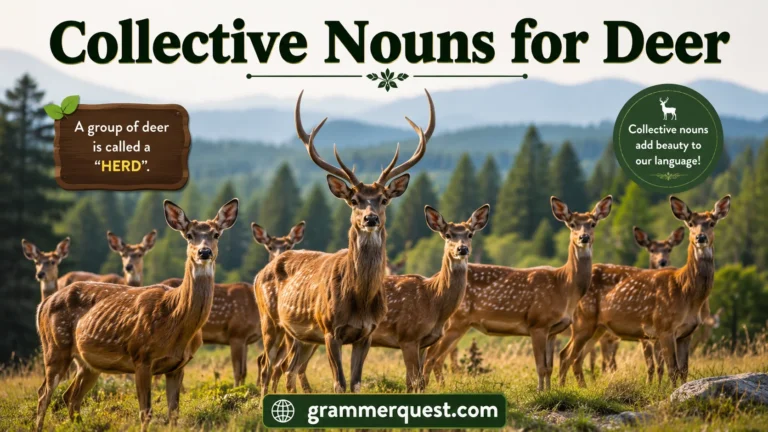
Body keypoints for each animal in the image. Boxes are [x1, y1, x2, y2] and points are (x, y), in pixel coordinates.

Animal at [34, 198, 238, 432]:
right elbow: (146, 412)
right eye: (189, 235)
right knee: (43, 394)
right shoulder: (141, 356)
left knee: (71, 397)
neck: (176, 320)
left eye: (216, 234)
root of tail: (43, 304)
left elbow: (174, 413)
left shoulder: (178, 366)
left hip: (87, 363)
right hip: (55, 347)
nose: (204, 252)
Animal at [159, 221, 306, 387]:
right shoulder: (236, 334)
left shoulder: (246, 339)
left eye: (289, 245)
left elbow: (245, 371)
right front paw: (237, 390)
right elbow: (238, 371)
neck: (254, 306)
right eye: (270, 246)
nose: (280, 257)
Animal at [254, 89, 434, 395]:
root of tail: (258, 275)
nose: (370, 218)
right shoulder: (329, 330)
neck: (360, 298)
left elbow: (355, 383)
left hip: (298, 335)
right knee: (267, 366)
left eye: (383, 199)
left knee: (284, 369)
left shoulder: (367, 333)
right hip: (270, 320)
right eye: (354, 200)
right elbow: (339, 384)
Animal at [422, 196, 613, 391]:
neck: (564, 286)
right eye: (572, 224)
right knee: (431, 356)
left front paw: (550, 391)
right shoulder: (538, 322)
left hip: (460, 324)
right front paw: (540, 392)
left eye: (593, 223)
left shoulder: (553, 330)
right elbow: (540, 366)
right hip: (454, 322)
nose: (584, 237)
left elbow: (549, 367)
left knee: (437, 358)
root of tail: (434, 279)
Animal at [583, 226, 685, 382]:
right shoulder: (645, 337)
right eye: (652, 249)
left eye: (669, 249)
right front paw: (650, 384)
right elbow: (651, 365)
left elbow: (660, 366)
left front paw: (660, 384)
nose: (662, 261)